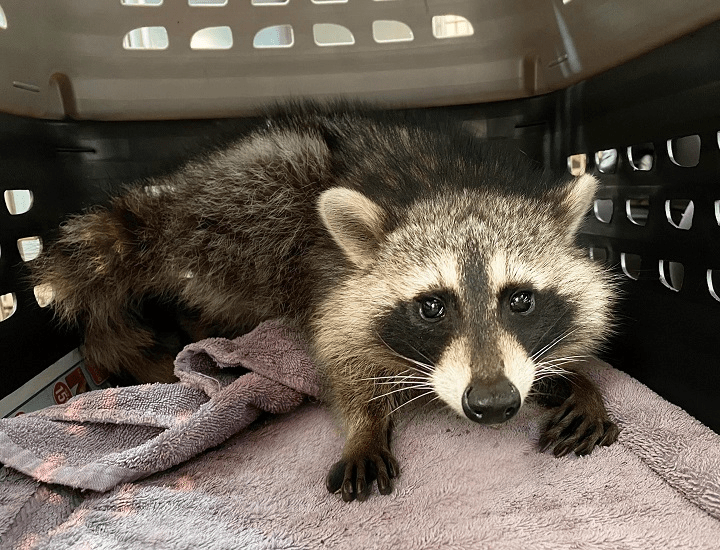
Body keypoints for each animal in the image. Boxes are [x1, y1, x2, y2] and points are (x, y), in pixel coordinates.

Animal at [33, 103, 619, 502]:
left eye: (520, 300)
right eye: (432, 307)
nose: (495, 403)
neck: (458, 186)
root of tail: (175, 192)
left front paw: (581, 380)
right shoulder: (335, 287)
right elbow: (338, 358)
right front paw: (364, 421)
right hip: (251, 203)